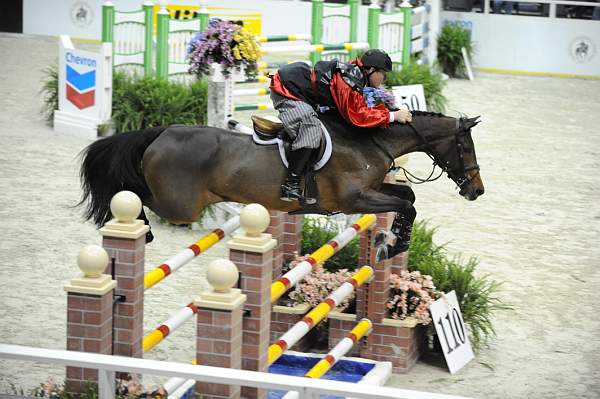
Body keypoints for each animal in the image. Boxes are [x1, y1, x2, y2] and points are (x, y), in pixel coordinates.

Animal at [78, 111, 482, 256]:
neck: (369, 142)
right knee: (132, 195)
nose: (476, 190)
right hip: (180, 204)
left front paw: (393, 241)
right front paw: (394, 242)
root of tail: (163, 131)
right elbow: (406, 204)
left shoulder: (373, 192)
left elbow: (407, 196)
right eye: (465, 146)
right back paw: (137, 229)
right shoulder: (356, 199)